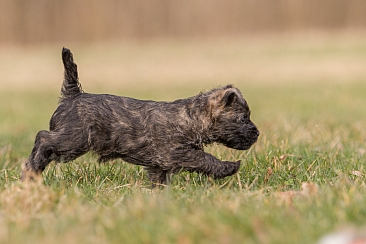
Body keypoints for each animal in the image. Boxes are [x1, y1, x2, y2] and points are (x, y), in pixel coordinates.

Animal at [20, 47, 260, 185]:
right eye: (243, 118)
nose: (257, 133)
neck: (191, 118)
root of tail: (73, 95)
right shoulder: (176, 153)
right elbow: (205, 159)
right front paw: (228, 168)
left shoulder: (158, 165)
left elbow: (159, 182)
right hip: (73, 140)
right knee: (43, 138)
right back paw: (30, 172)